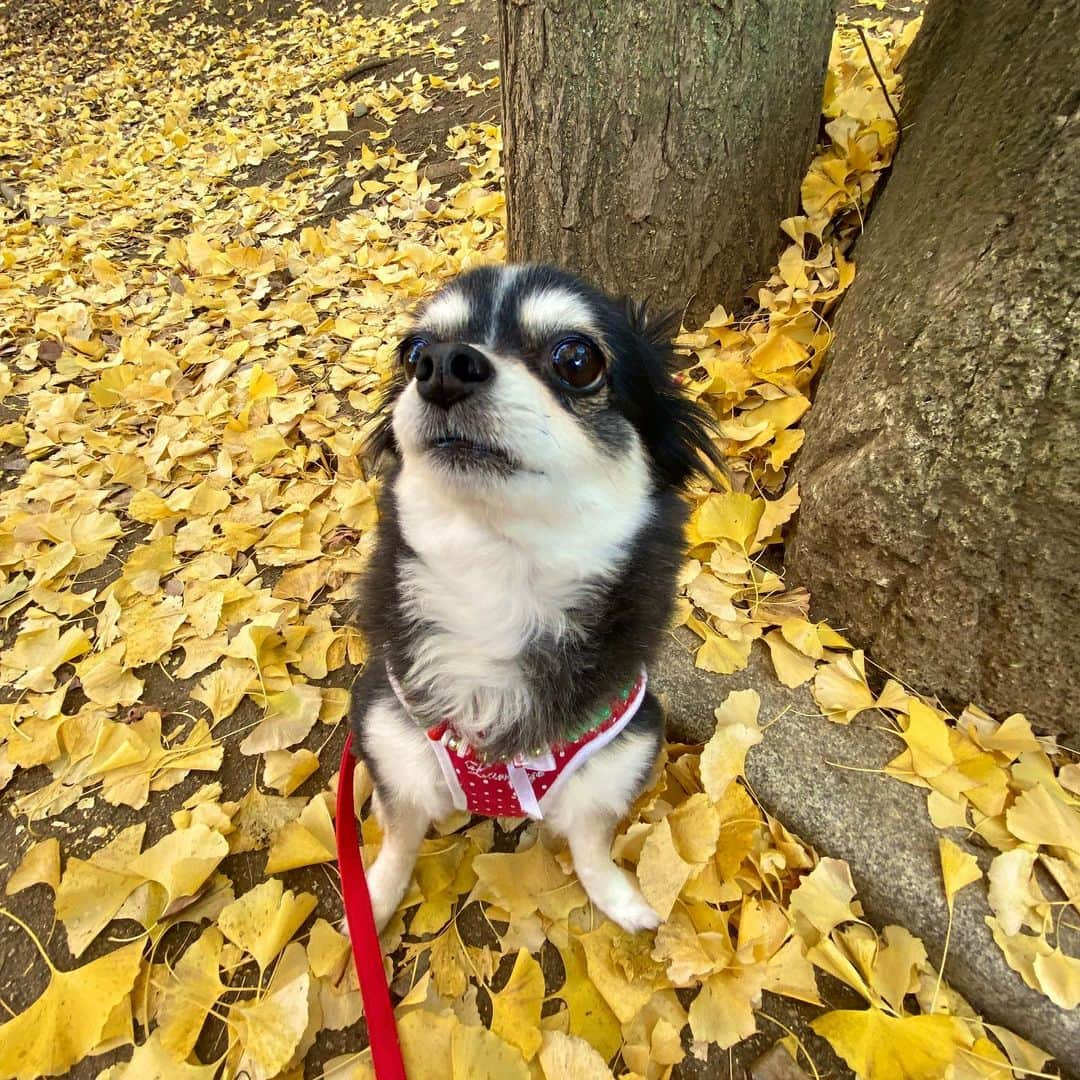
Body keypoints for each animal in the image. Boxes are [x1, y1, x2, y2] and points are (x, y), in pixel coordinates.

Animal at [352, 265, 717, 933]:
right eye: (412, 352)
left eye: (576, 359)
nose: (442, 365)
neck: (500, 581)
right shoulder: (387, 728)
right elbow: (399, 836)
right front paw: (375, 901)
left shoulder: (624, 750)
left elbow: (593, 844)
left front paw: (616, 897)